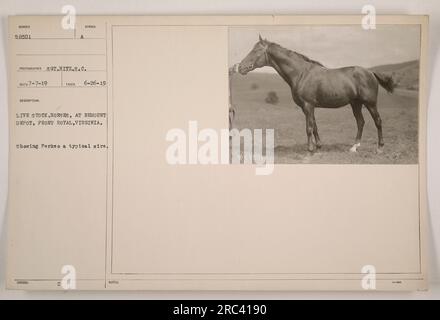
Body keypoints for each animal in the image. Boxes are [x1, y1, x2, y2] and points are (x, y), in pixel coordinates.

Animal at [237, 35, 396, 153]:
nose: (240, 67)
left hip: (370, 103)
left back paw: (379, 148)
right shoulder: (307, 107)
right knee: (360, 122)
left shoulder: (308, 105)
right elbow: (314, 126)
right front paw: (318, 146)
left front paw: (310, 149)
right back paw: (354, 147)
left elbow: (309, 127)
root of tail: (370, 72)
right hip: (355, 104)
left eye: (256, 51)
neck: (301, 73)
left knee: (378, 121)